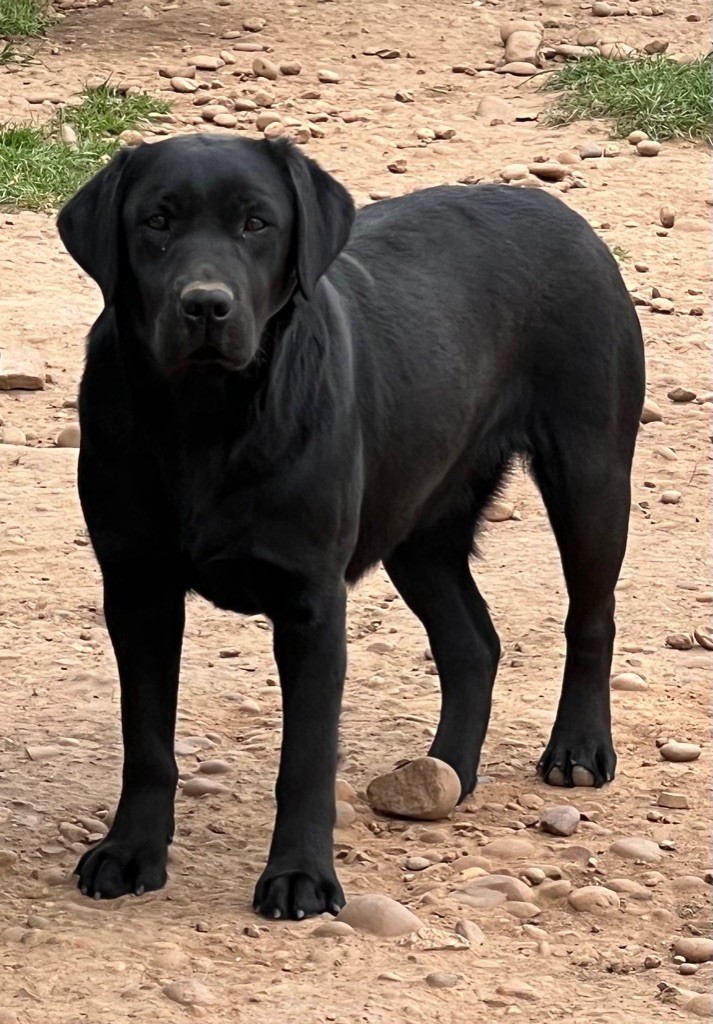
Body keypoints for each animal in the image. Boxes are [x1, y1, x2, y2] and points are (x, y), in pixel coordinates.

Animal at [55, 134, 647, 921]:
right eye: (156, 221)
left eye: (257, 223)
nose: (206, 305)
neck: (206, 420)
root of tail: (563, 214)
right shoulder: (137, 588)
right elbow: (146, 741)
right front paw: (130, 852)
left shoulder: (311, 603)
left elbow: (305, 759)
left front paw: (300, 876)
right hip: (419, 530)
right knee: (472, 643)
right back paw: (446, 772)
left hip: (589, 475)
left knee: (590, 618)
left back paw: (578, 748)